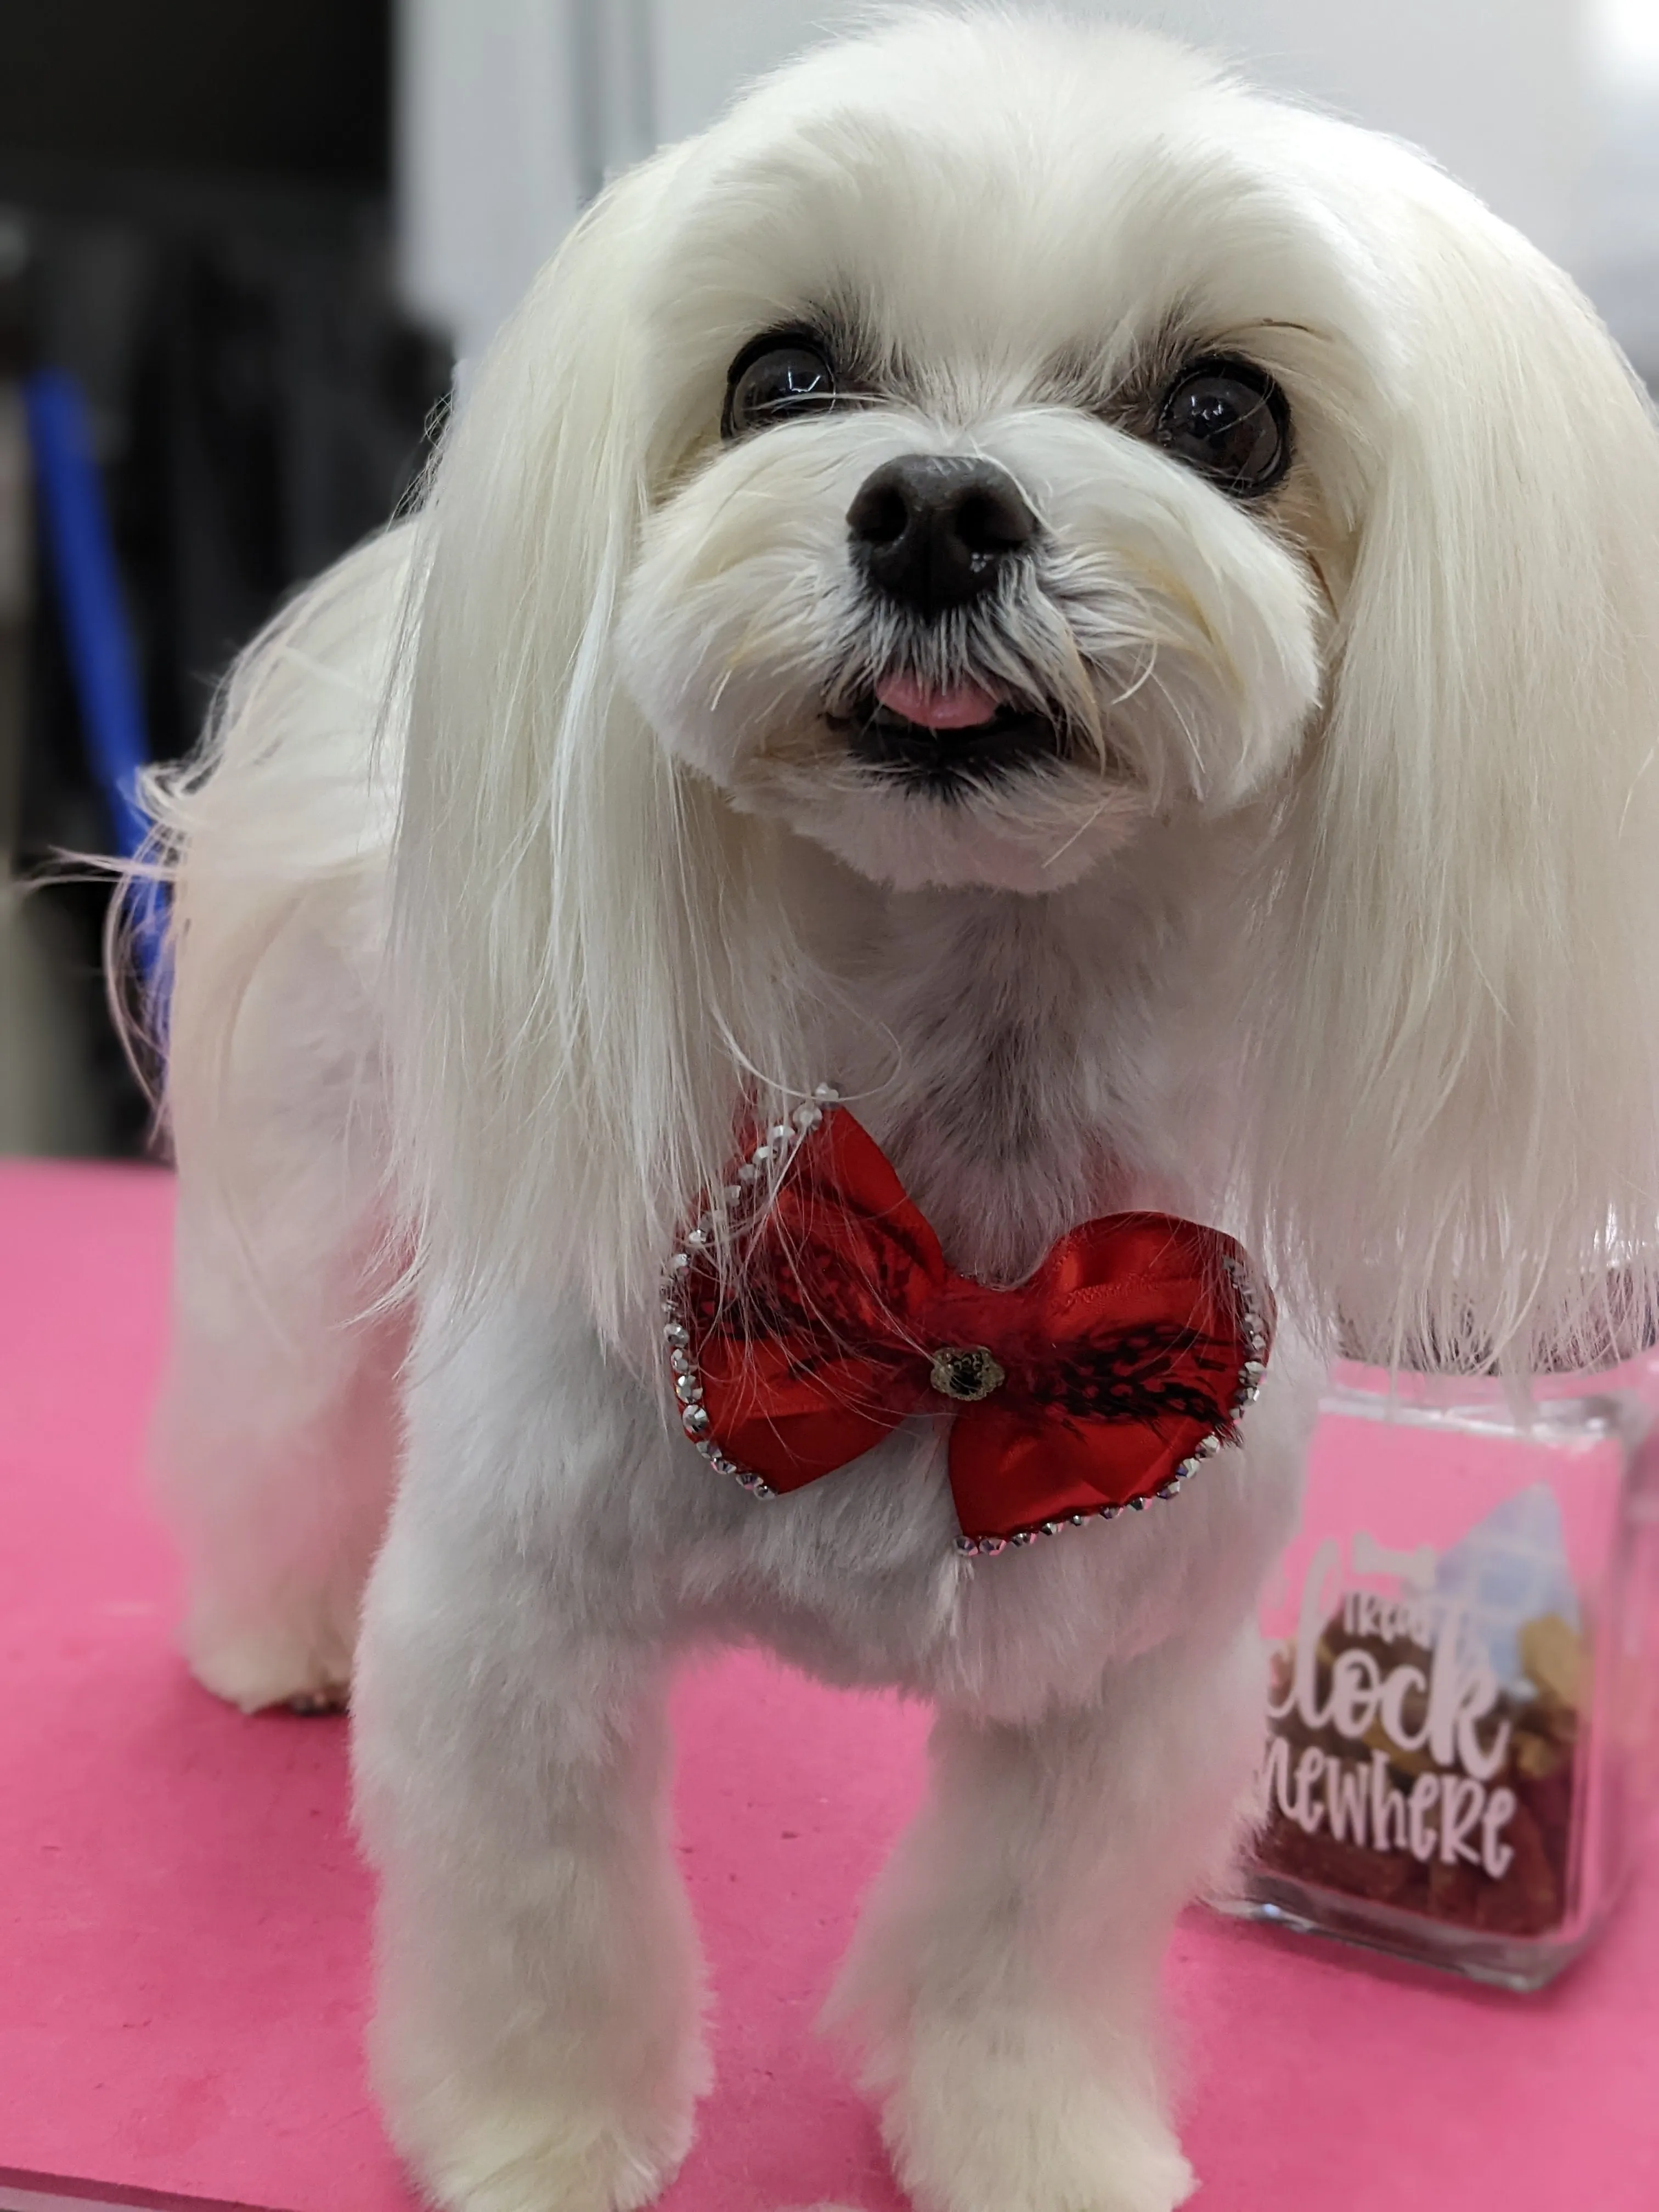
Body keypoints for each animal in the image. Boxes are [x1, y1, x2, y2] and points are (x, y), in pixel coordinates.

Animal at [136, 13, 1659, 2212]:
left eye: (1226, 412)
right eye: (780, 375)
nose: (937, 507)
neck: (952, 1199)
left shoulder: (1130, 1678)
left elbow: (1026, 1929)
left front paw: (1031, 2141)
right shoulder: (514, 1618)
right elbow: (540, 1912)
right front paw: (537, 2137)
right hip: (326, 1198)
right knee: (273, 1415)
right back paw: (270, 1627)